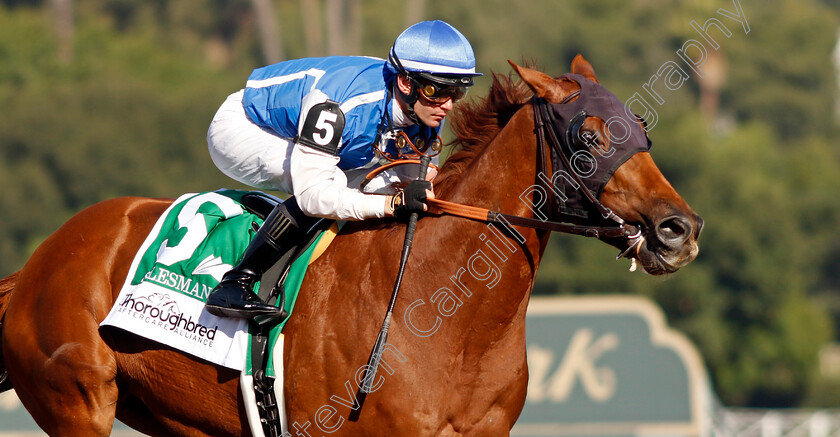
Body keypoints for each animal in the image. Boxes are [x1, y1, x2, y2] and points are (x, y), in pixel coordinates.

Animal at [0, 56, 704, 434]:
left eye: (640, 130)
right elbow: (316, 189)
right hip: (77, 402)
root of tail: (41, 260)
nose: (680, 229)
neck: (452, 326)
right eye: (589, 137)